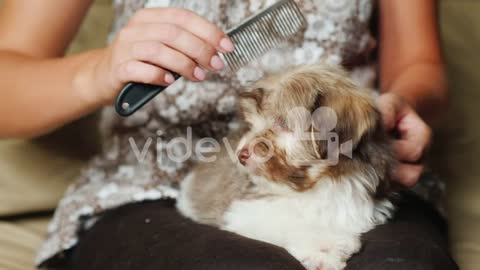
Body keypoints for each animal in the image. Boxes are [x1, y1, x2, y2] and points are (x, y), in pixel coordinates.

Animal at [176, 65, 394, 270]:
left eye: (282, 123)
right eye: (252, 123)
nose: (241, 154)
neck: (318, 183)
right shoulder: (246, 209)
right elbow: (288, 222)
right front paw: (325, 247)